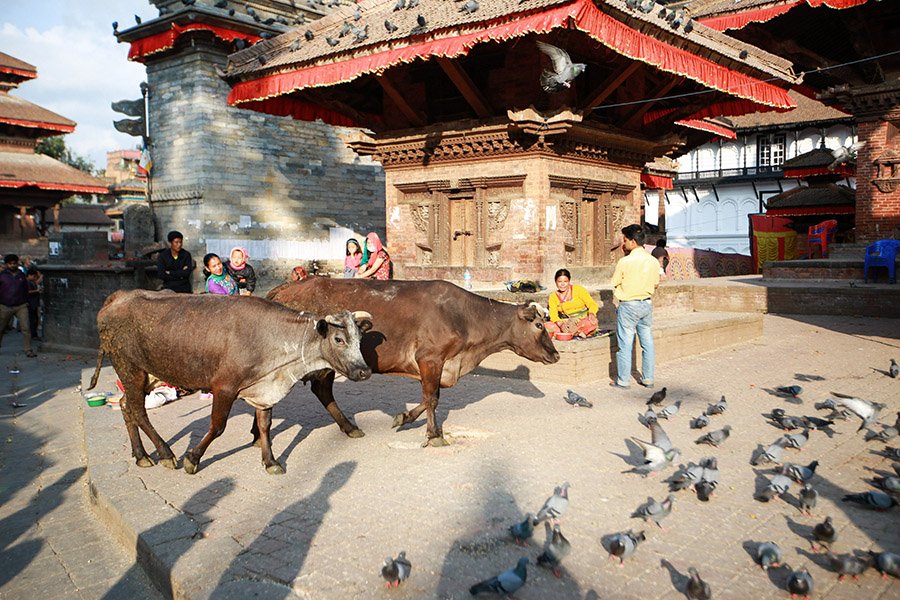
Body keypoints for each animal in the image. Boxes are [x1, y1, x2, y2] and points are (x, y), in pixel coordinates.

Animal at [89, 290, 370, 474]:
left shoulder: (263, 391)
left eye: (359, 339)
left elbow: (265, 426)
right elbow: (217, 426)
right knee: (138, 411)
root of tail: (119, 296)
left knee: (126, 406)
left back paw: (141, 455)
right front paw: (193, 458)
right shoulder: (223, 388)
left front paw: (270, 461)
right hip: (130, 369)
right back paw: (166, 453)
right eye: (339, 339)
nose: (364, 371)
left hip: (150, 374)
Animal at [266, 278, 556, 442]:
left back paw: (348, 428)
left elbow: (429, 397)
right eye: (540, 325)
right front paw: (431, 433)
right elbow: (432, 398)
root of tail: (286, 287)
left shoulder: (436, 365)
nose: (555, 354)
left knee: (322, 390)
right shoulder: (430, 358)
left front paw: (409, 420)